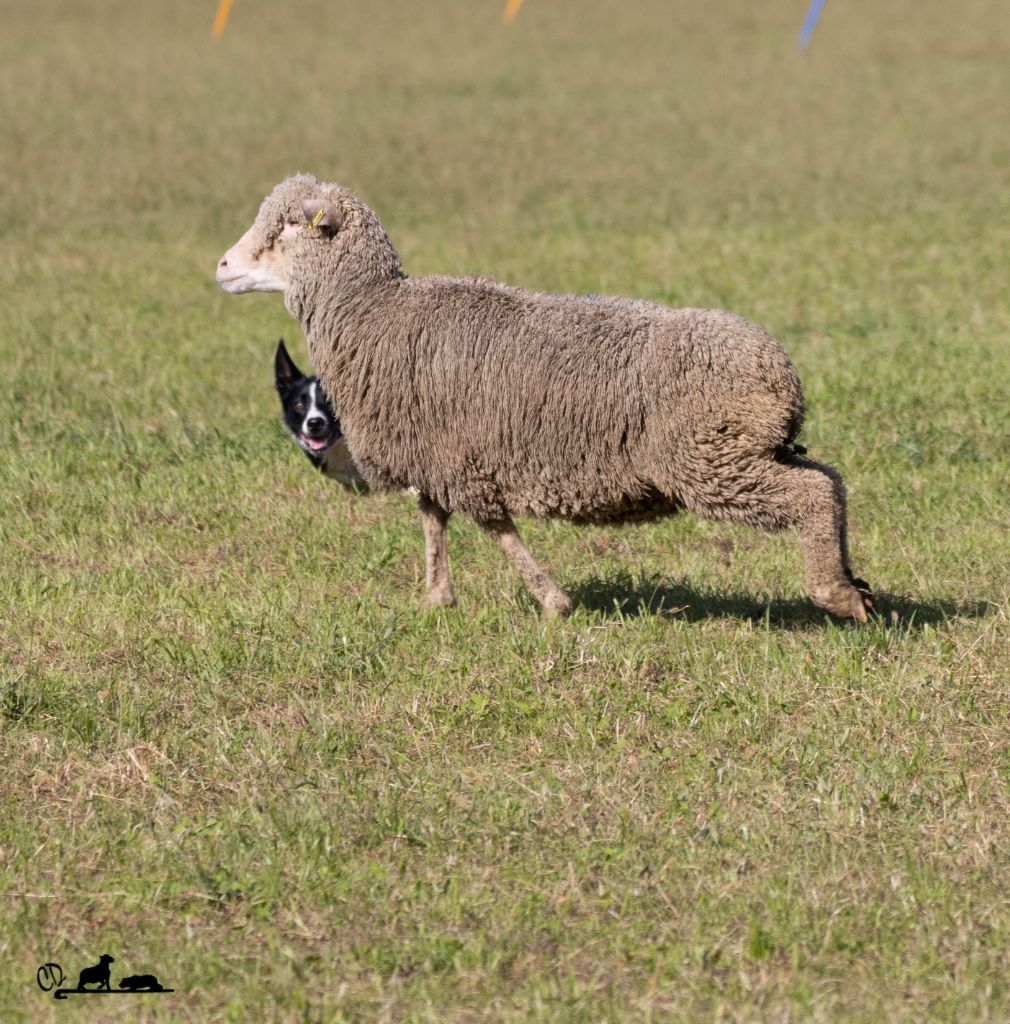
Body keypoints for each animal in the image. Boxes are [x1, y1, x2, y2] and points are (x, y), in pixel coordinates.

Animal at [214, 175, 872, 618]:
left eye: (289, 226)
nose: (221, 266)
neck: (374, 311)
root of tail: (779, 373)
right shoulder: (432, 453)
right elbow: (432, 522)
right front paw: (436, 597)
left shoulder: (459, 460)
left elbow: (494, 528)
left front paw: (552, 600)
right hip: (745, 450)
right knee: (830, 480)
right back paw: (855, 582)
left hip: (710, 461)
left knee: (812, 493)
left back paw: (835, 593)